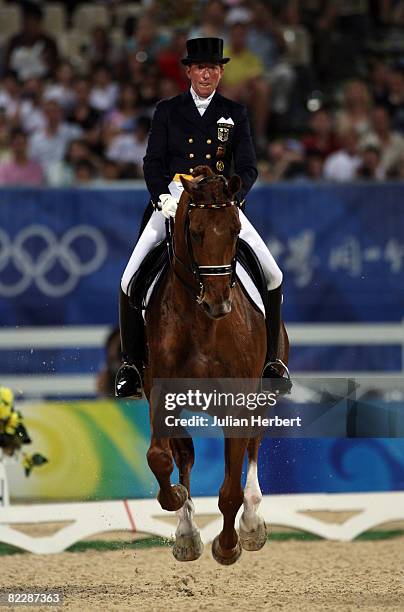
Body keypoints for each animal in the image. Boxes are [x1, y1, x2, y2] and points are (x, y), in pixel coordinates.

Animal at [142, 166, 288, 564]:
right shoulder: (162, 396)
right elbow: (159, 458)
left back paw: (251, 525)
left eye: (236, 230)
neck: (203, 323)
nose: (219, 303)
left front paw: (227, 545)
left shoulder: (238, 404)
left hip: (261, 397)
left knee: (253, 446)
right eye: (194, 232)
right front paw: (176, 502)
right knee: (184, 455)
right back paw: (186, 533)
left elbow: (230, 491)